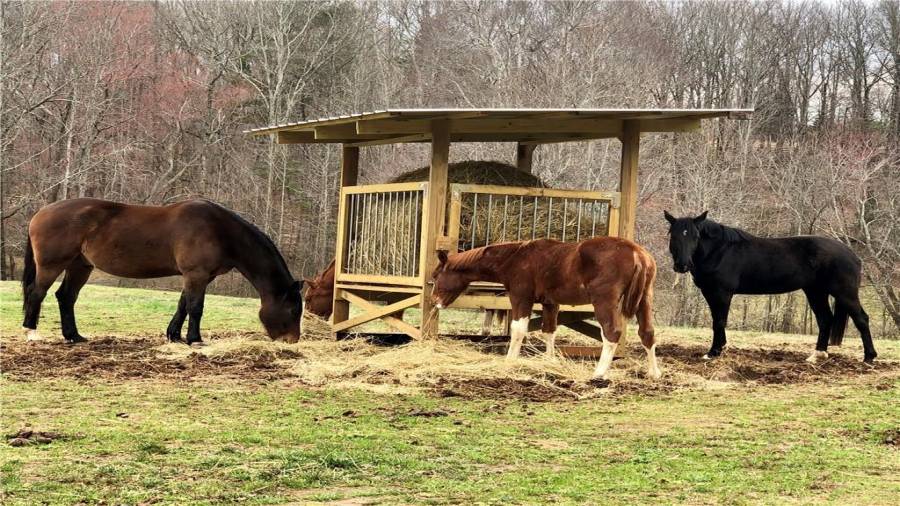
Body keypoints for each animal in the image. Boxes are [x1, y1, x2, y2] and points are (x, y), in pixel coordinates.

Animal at [22, 198, 303, 346]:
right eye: (293, 311)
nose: (292, 340)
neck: (219, 230)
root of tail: (40, 213)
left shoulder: (199, 276)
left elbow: (183, 305)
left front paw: (174, 336)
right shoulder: (196, 274)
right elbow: (196, 308)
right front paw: (195, 339)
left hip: (80, 265)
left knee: (66, 297)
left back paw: (74, 336)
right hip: (52, 265)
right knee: (37, 293)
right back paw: (31, 332)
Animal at [431, 237, 660, 380]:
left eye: (436, 275)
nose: (435, 301)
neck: (515, 257)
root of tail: (638, 254)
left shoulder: (521, 298)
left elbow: (518, 330)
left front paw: (510, 361)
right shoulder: (550, 303)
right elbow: (549, 330)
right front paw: (550, 360)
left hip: (604, 301)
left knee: (612, 333)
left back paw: (599, 373)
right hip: (644, 301)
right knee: (647, 333)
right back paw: (654, 372)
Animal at [663, 211, 877, 364]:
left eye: (695, 236)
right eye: (673, 236)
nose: (682, 265)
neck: (720, 250)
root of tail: (852, 254)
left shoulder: (722, 293)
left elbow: (719, 321)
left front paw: (714, 352)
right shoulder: (709, 292)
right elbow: (717, 320)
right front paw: (719, 349)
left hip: (844, 293)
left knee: (861, 319)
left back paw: (869, 357)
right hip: (816, 292)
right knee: (825, 320)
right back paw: (817, 355)